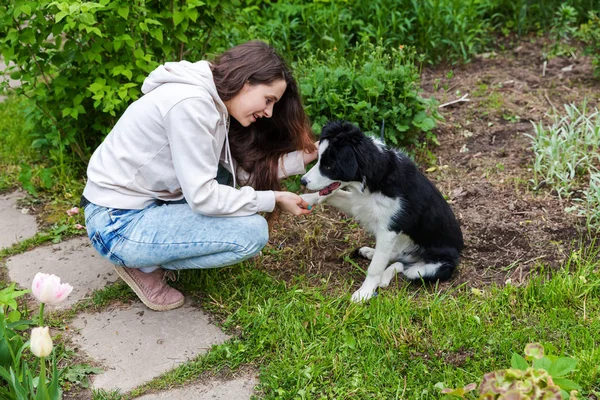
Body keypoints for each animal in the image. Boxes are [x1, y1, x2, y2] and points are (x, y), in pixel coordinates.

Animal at [300, 120, 464, 302]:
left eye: (328, 166)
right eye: (318, 160)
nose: (303, 181)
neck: (377, 178)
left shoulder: (389, 229)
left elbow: (375, 267)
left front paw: (364, 292)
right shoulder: (360, 203)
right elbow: (334, 193)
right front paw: (306, 198)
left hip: (432, 268)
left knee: (404, 266)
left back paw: (383, 277)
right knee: (396, 257)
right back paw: (371, 254)